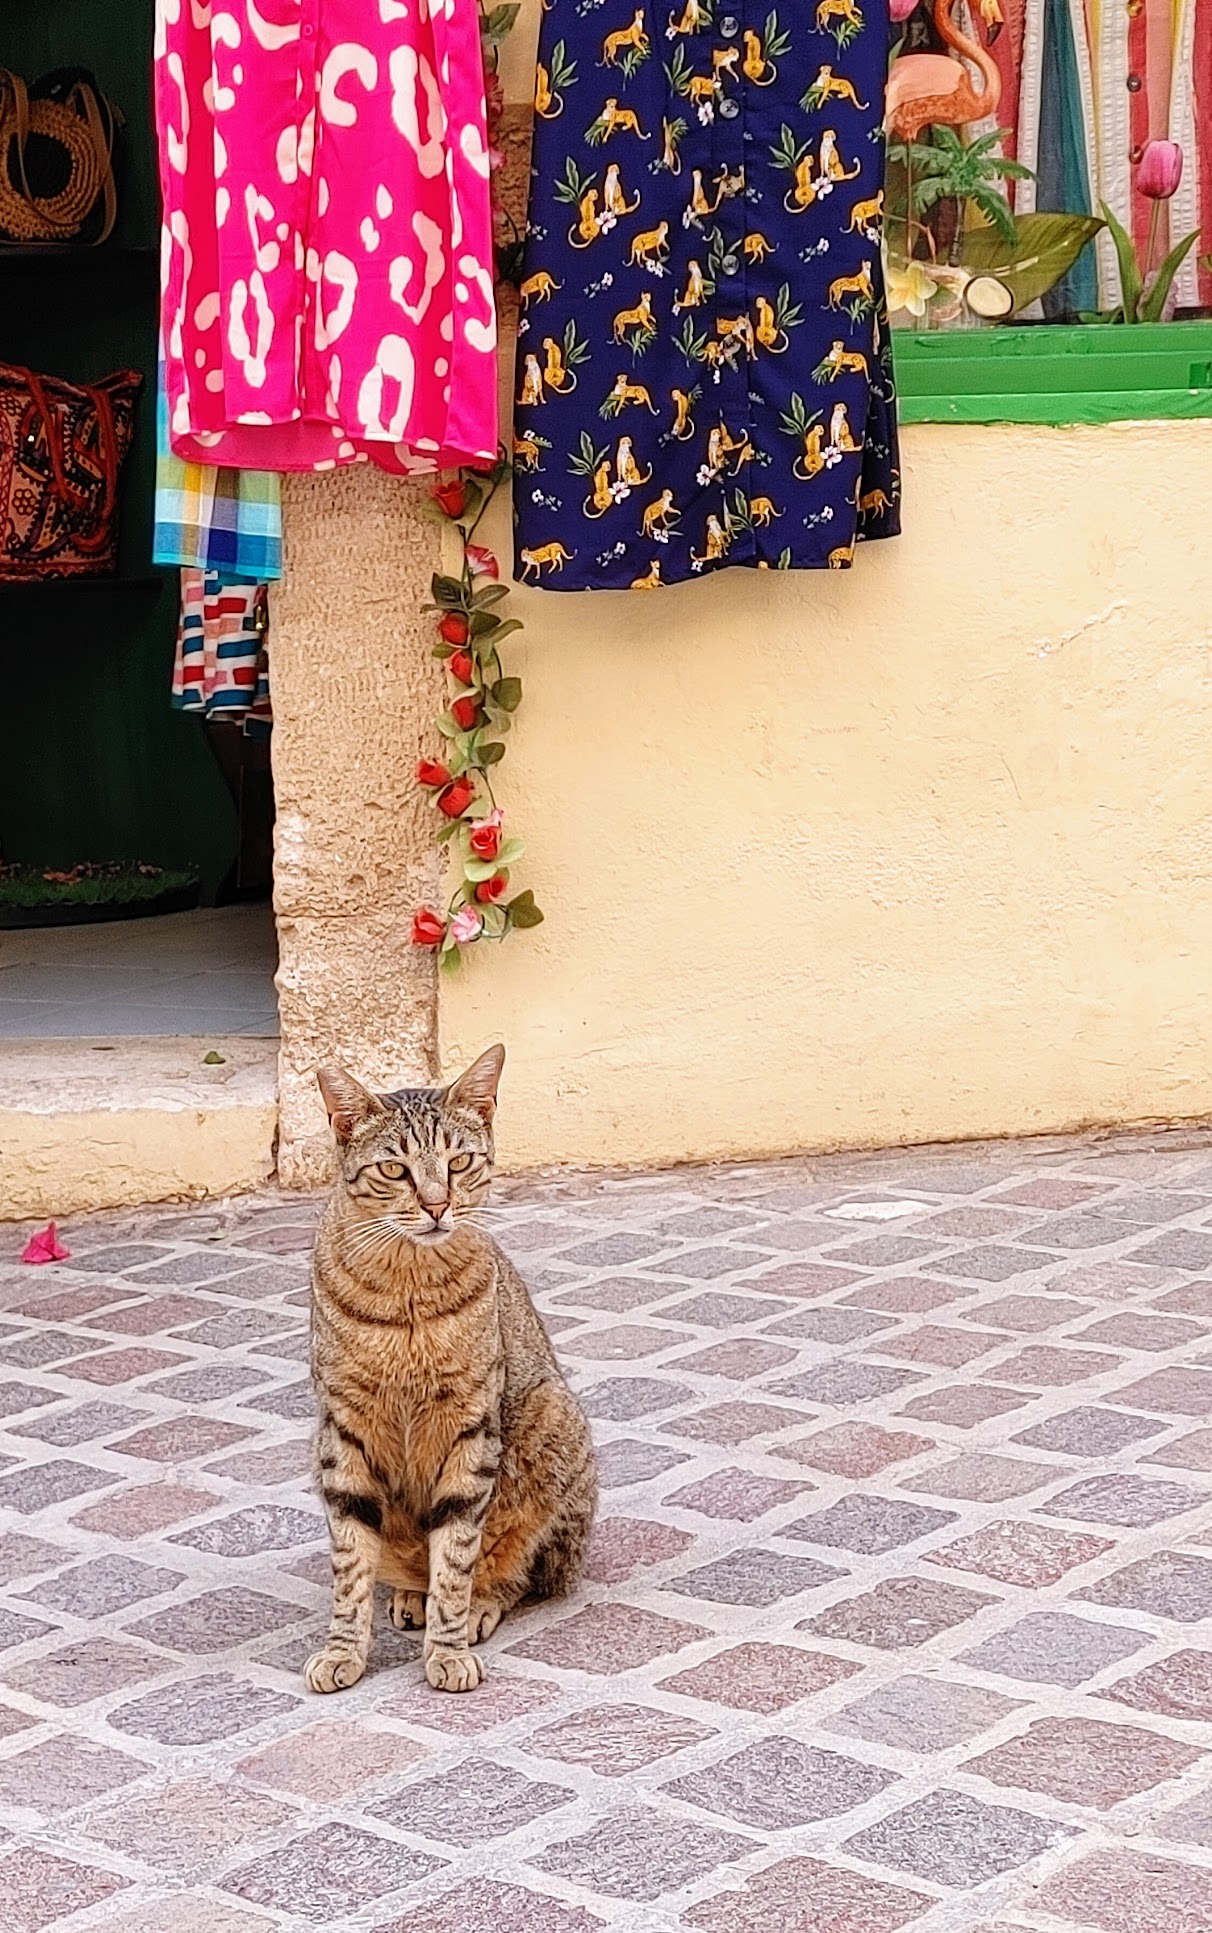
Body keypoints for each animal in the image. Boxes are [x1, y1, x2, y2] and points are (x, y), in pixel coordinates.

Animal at [306, 1043, 597, 1694]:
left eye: (459, 1162)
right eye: (395, 1171)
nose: (438, 1205)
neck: (408, 1290)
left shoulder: (470, 1428)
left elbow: (458, 1555)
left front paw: (448, 1648)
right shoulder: (343, 1431)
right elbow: (351, 1563)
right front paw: (342, 1650)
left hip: (550, 1420)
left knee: (520, 1569)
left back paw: (480, 1605)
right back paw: (410, 1596)